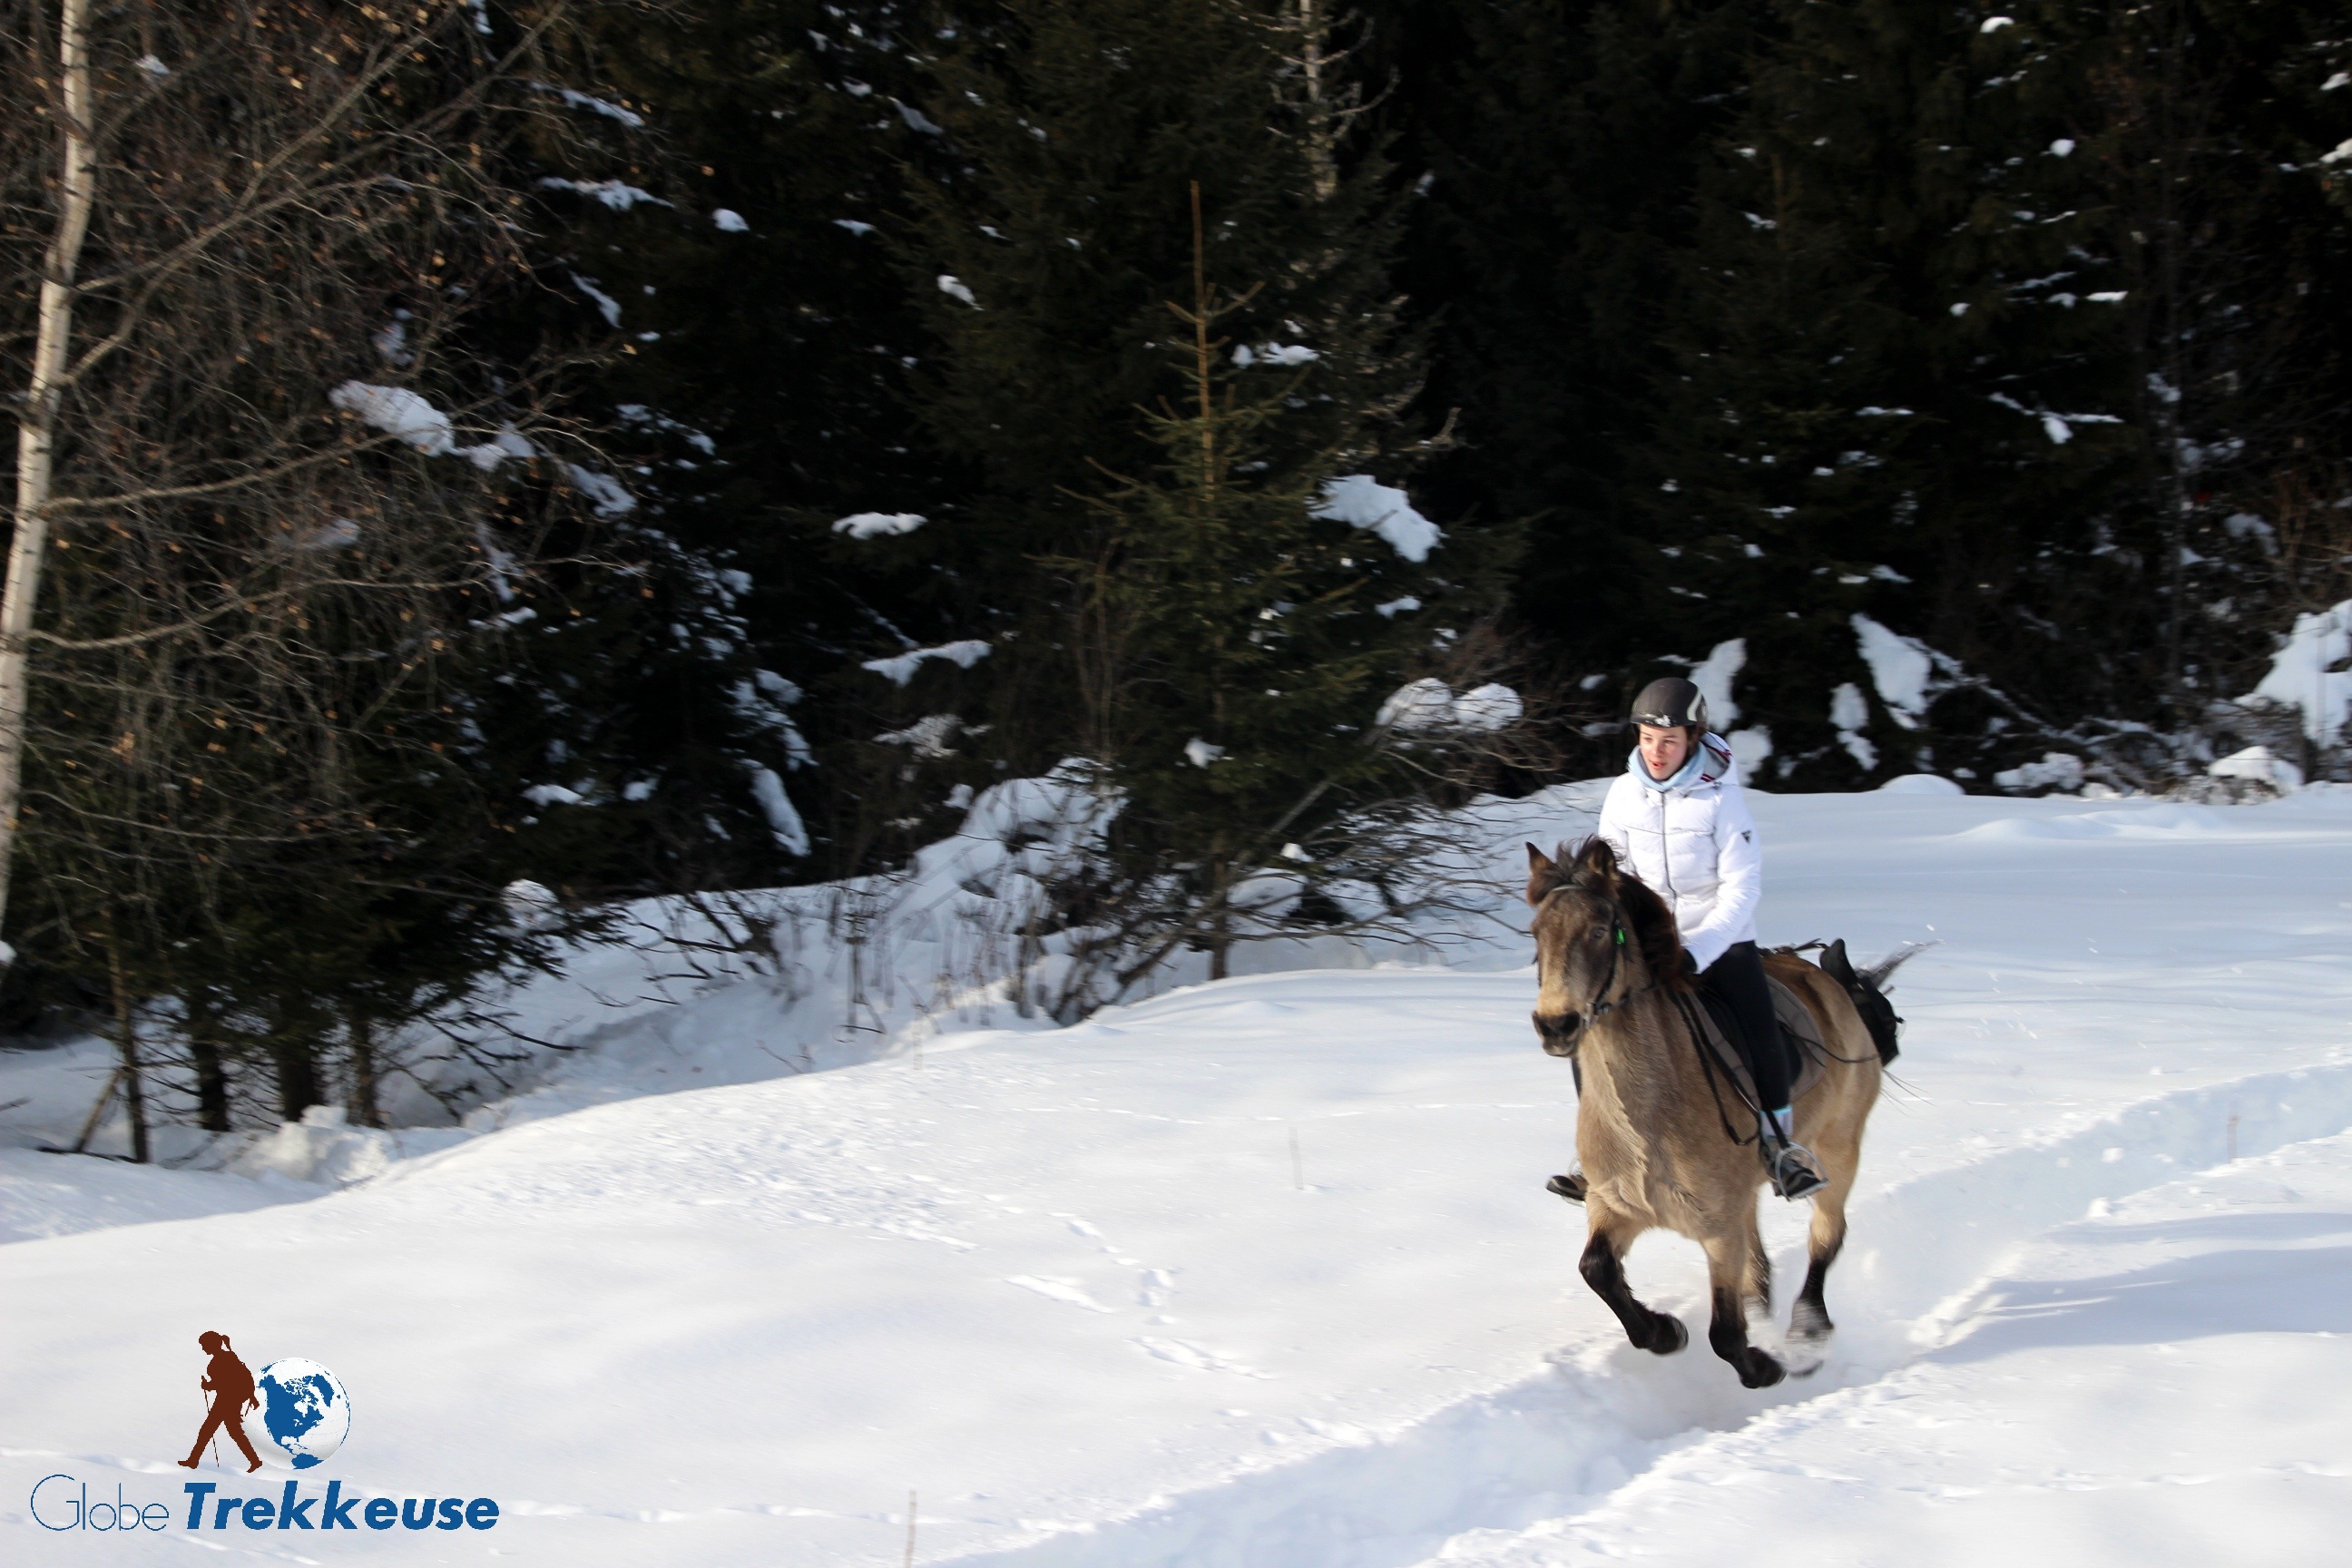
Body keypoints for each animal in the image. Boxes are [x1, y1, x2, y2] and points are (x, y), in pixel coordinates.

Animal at [1514, 841, 1900, 1391]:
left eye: (1598, 930)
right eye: (1536, 932)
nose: (1555, 1024)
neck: (1648, 1122)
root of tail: (1831, 983)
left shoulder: (1718, 1229)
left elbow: (1725, 1336)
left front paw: (1766, 1365)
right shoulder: (1615, 1208)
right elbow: (1596, 1270)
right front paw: (1665, 1331)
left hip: (1839, 1150)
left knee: (1826, 1238)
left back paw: (1807, 1334)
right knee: (1761, 1257)